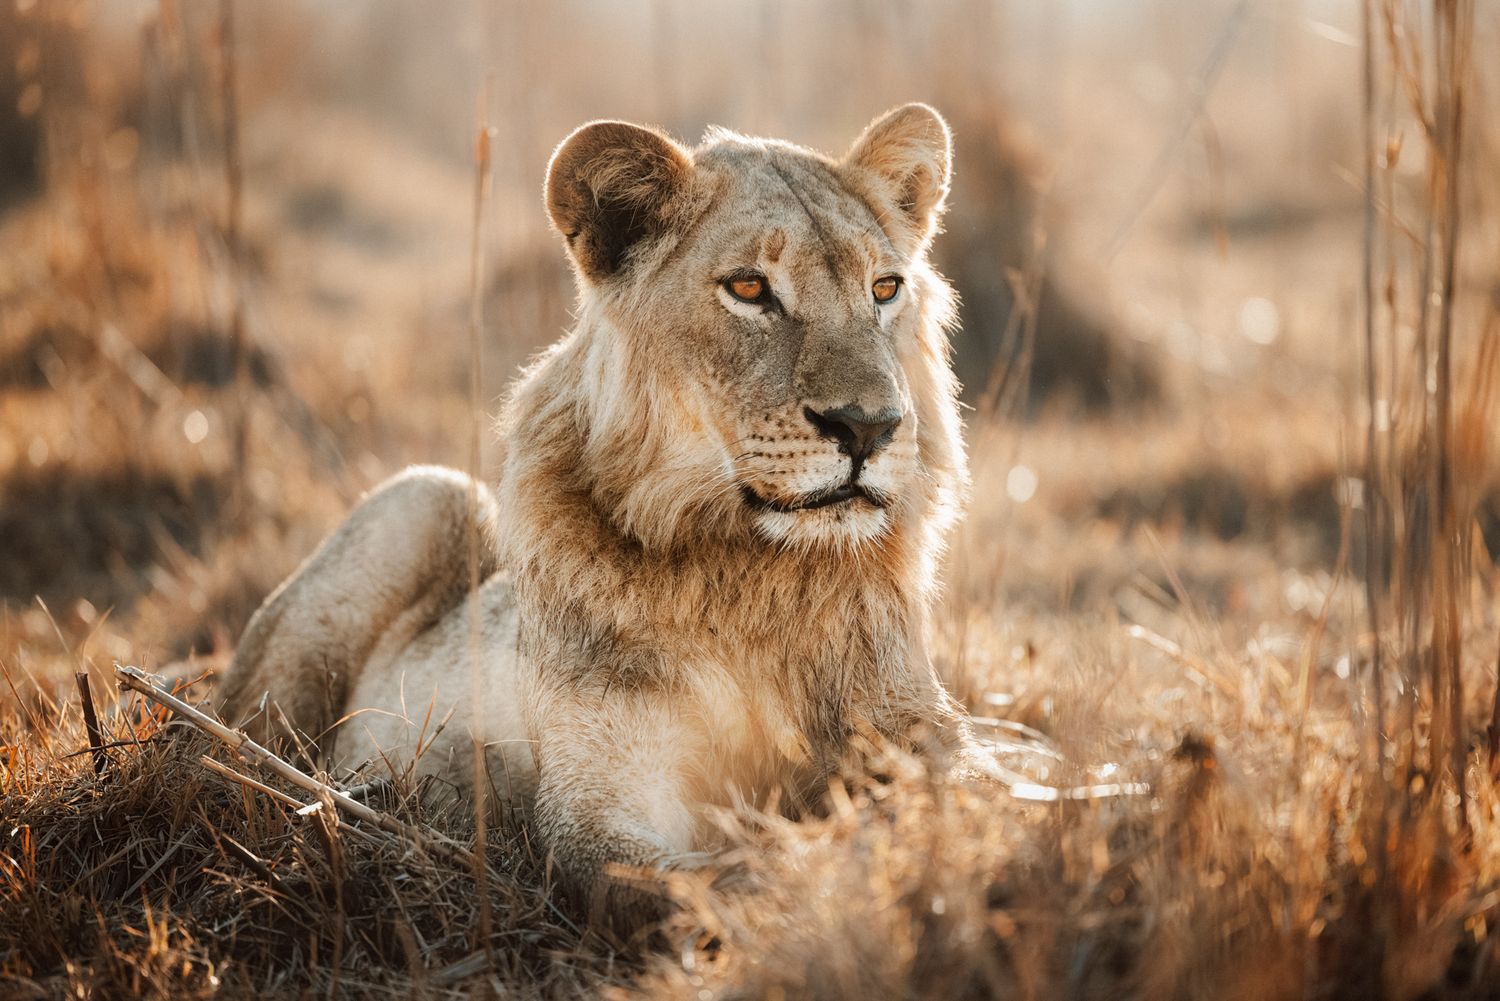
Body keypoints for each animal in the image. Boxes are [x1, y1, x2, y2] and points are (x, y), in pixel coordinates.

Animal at [217, 103, 991, 917]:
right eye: (750, 288)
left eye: (884, 288)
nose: (869, 427)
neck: (753, 574)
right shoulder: (597, 799)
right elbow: (697, 884)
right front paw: (810, 882)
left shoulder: (918, 728)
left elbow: (982, 807)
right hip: (422, 499)